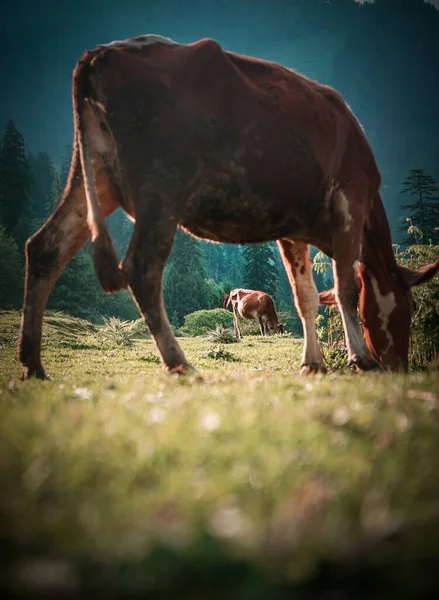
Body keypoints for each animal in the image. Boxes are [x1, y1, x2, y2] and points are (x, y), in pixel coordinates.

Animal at [17, 34, 439, 380]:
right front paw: (361, 359)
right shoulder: (350, 201)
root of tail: (103, 52)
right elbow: (346, 288)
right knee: (142, 269)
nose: (400, 367)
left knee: (45, 247)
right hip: (161, 189)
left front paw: (313, 363)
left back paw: (32, 364)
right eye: (410, 307)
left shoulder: (293, 228)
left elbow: (305, 297)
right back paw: (180, 363)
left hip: (96, 178)